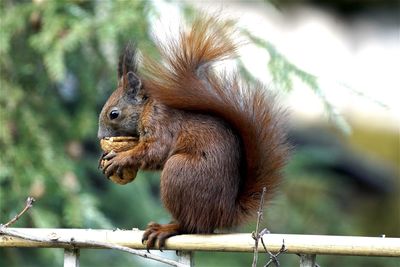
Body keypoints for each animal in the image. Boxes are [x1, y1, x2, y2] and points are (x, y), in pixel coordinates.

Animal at [98, 16, 290, 251]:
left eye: (113, 114)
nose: (100, 137)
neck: (146, 108)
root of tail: (225, 213)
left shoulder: (162, 124)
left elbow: (154, 151)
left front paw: (120, 157)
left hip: (180, 172)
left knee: (193, 226)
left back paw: (167, 228)